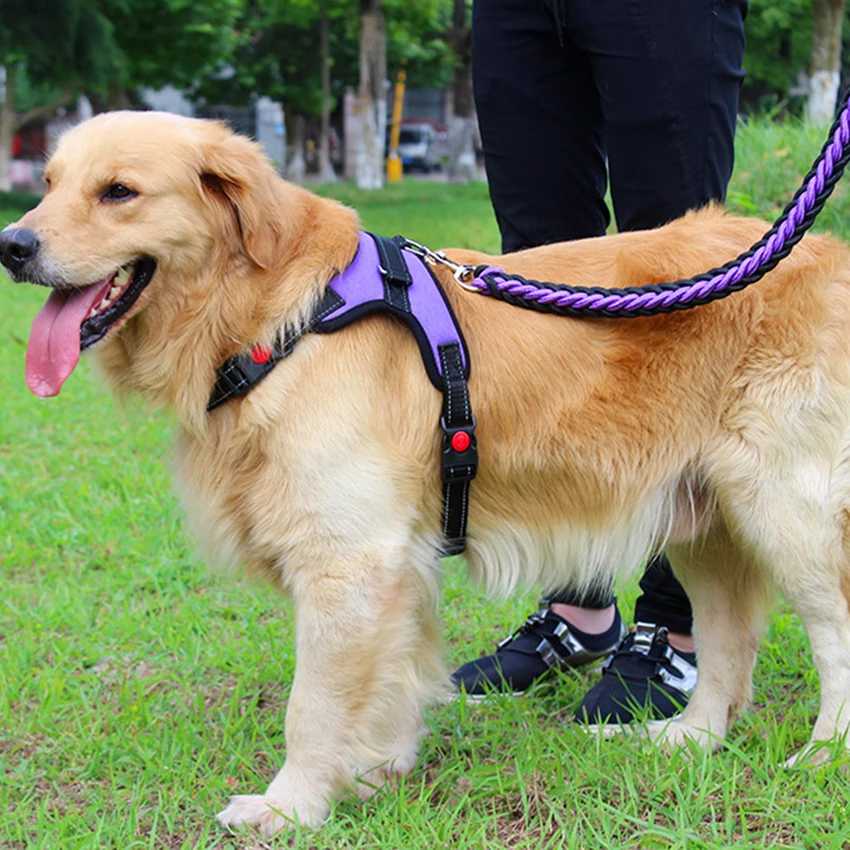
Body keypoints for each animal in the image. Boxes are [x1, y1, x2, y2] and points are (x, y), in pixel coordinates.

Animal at [4, 109, 848, 832]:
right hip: (701, 514)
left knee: (833, 634)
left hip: (787, 511)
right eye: (47, 182)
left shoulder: (349, 560)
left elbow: (312, 705)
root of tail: (822, 250)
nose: (13, 244)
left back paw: (824, 754)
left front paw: (290, 807)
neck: (279, 319)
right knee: (728, 645)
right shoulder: (394, 560)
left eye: (118, 192)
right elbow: (392, 674)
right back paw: (686, 738)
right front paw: (376, 769)